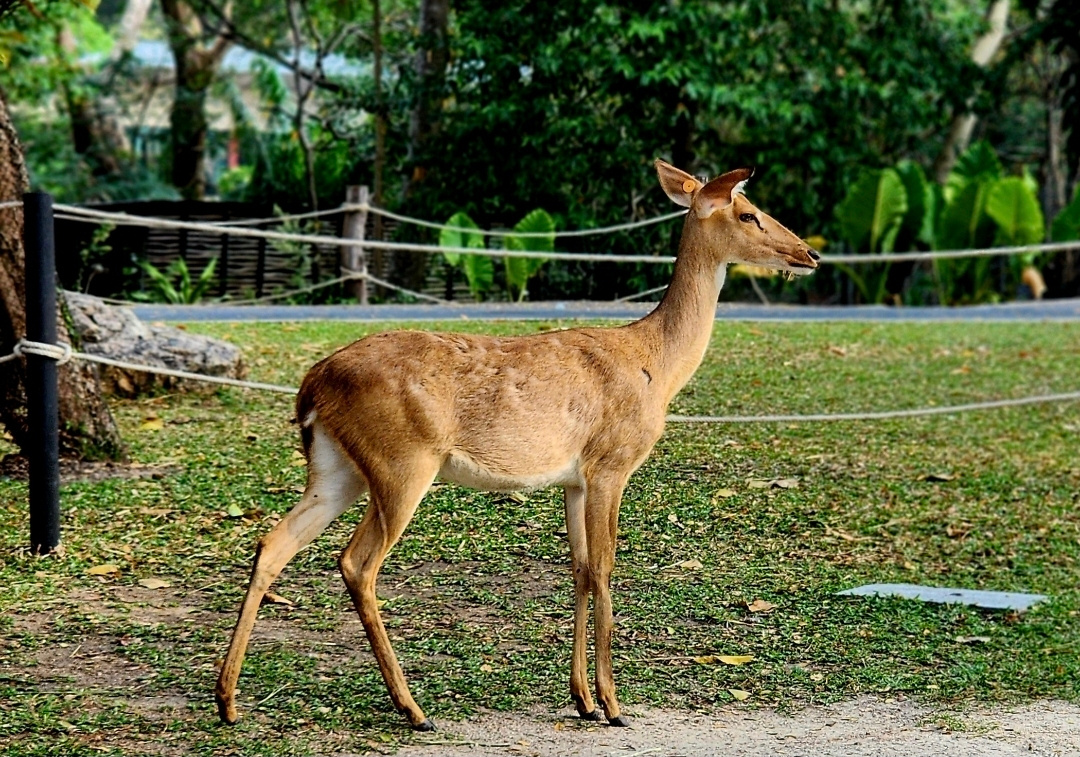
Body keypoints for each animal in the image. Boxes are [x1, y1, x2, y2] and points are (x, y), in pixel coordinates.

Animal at [214, 160, 819, 731]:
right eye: (749, 214)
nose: (809, 253)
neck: (657, 365)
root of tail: (311, 383)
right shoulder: (611, 463)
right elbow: (605, 569)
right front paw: (613, 704)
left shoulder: (574, 478)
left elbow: (580, 568)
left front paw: (581, 701)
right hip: (401, 462)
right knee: (356, 562)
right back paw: (413, 709)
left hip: (336, 467)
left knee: (273, 542)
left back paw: (229, 702)